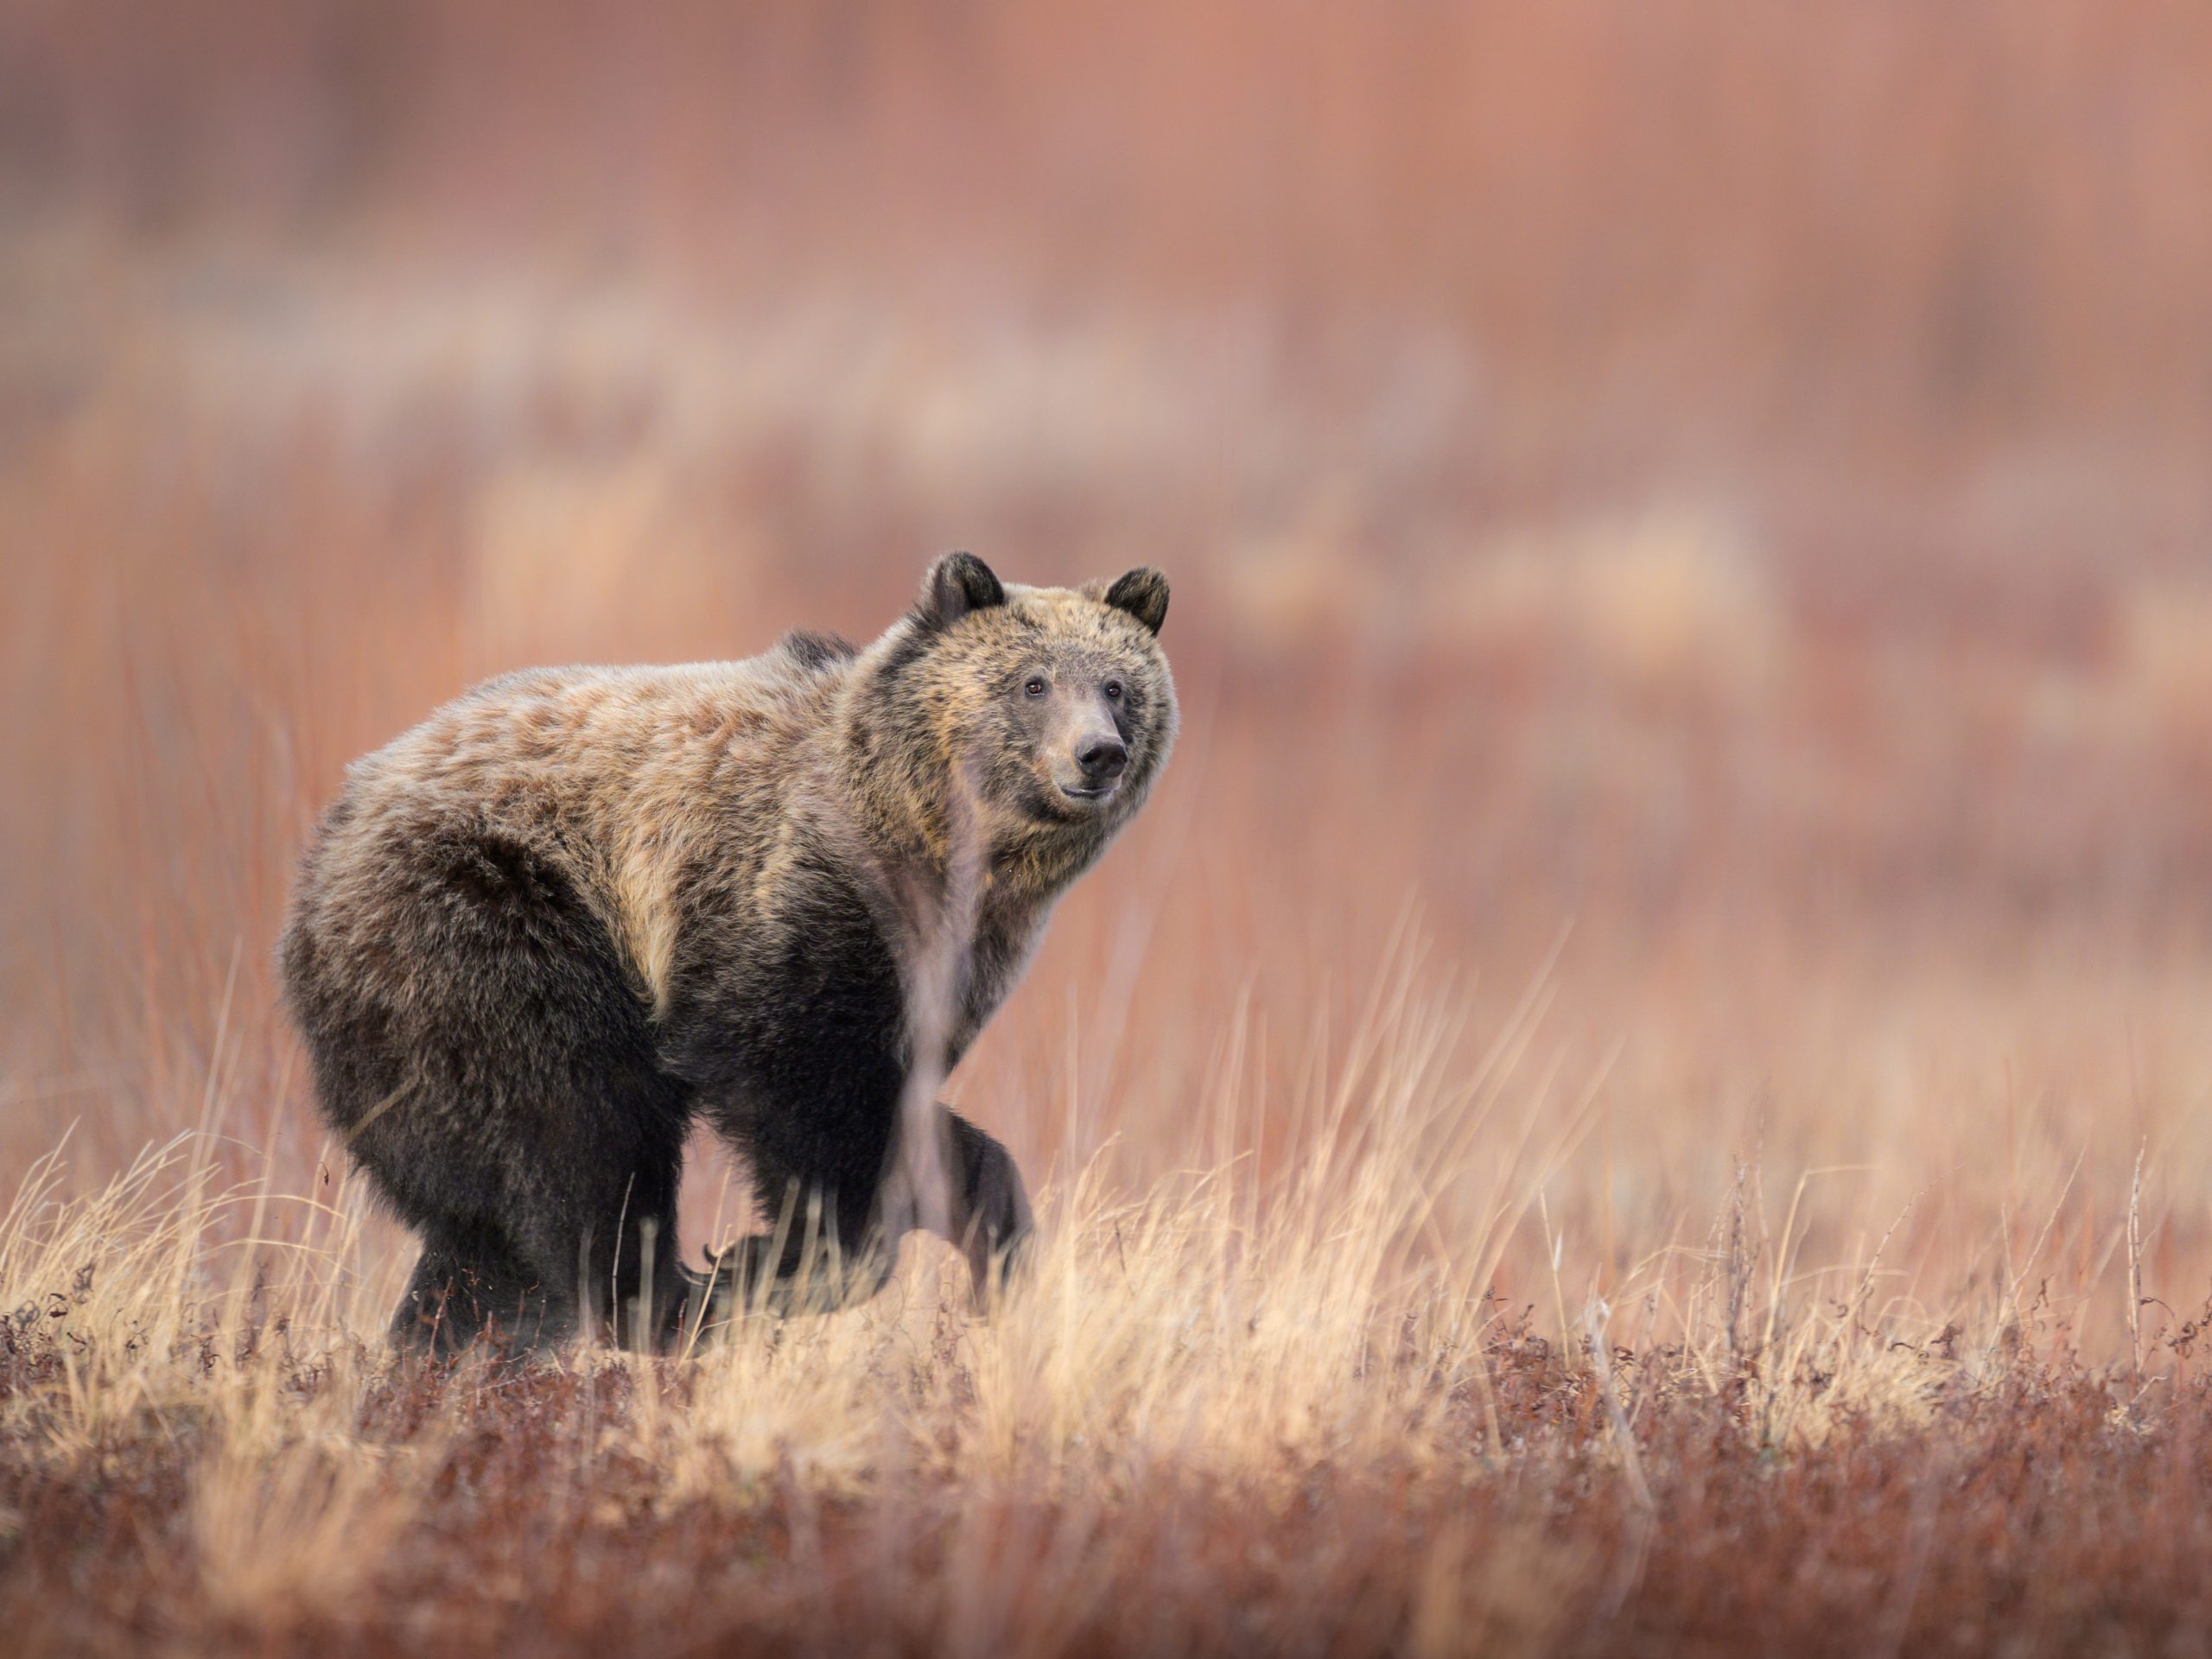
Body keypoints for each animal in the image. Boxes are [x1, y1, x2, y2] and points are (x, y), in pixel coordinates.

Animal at [278, 552, 1175, 1353]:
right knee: (574, 1122)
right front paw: (770, 1262)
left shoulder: (949, 968)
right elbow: (786, 1075)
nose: (1098, 753)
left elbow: (920, 1128)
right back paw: (669, 1297)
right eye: (1034, 683)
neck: (928, 845)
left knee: (483, 1244)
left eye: (1117, 687)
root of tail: (322, 856)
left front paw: (993, 1257)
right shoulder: (785, 899)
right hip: (493, 920)